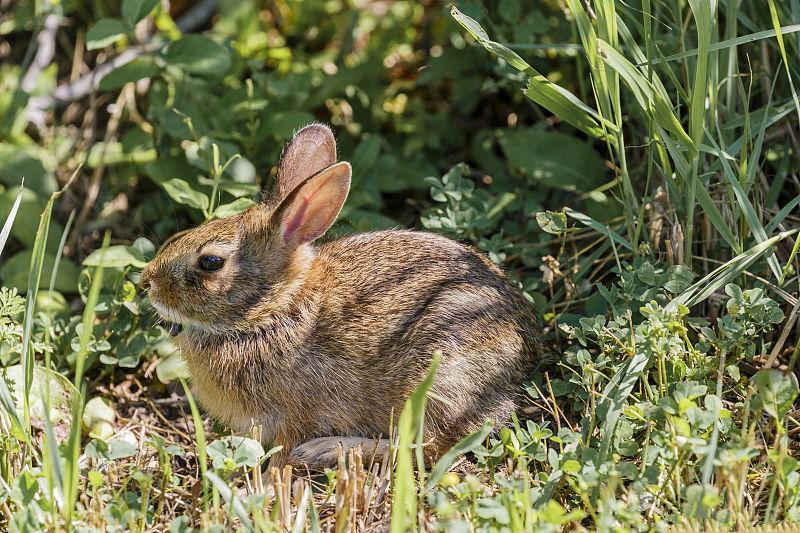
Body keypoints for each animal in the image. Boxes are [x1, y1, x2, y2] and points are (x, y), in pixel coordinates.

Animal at [142, 124, 544, 470]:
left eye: (211, 262)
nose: (148, 282)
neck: (272, 312)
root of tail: (520, 357)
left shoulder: (295, 415)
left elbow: (283, 454)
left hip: (438, 376)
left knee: (423, 448)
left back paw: (326, 451)